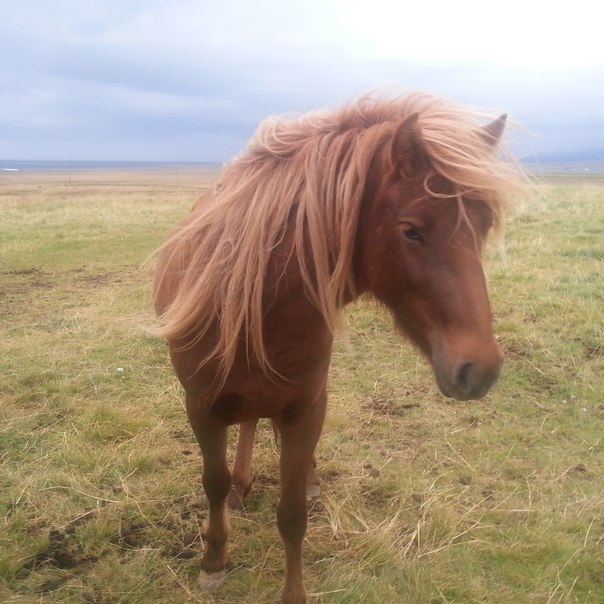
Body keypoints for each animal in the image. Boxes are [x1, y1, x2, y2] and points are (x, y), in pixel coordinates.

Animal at [155, 93, 520, 604]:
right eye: (411, 230)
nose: (480, 368)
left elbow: (291, 513)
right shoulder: (200, 408)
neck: (256, 301)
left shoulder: (305, 407)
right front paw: (213, 559)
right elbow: (213, 483)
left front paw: (293, 590)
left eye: (484, 224)